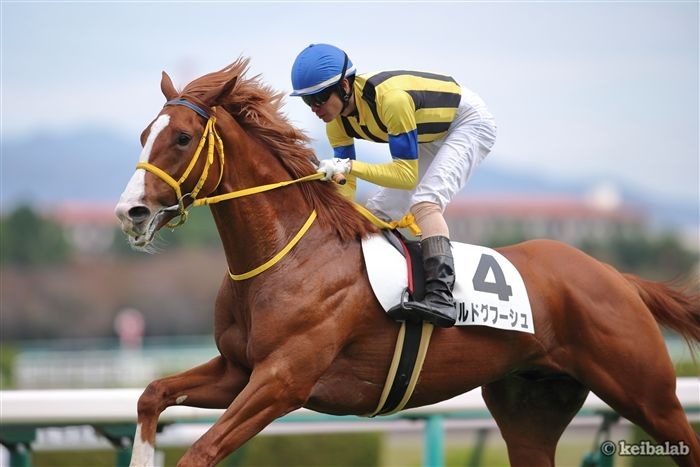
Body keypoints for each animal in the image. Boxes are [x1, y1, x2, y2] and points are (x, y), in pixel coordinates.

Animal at [114, 58, 700, 467]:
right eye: (143, 136)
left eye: (182, 138)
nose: (129, 212)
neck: (288, 255)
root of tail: (616, 277)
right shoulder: (238, 371)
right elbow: (150, 396)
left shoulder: (282, 381)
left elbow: (200, 451)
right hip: (529, 403)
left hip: (649, 394)